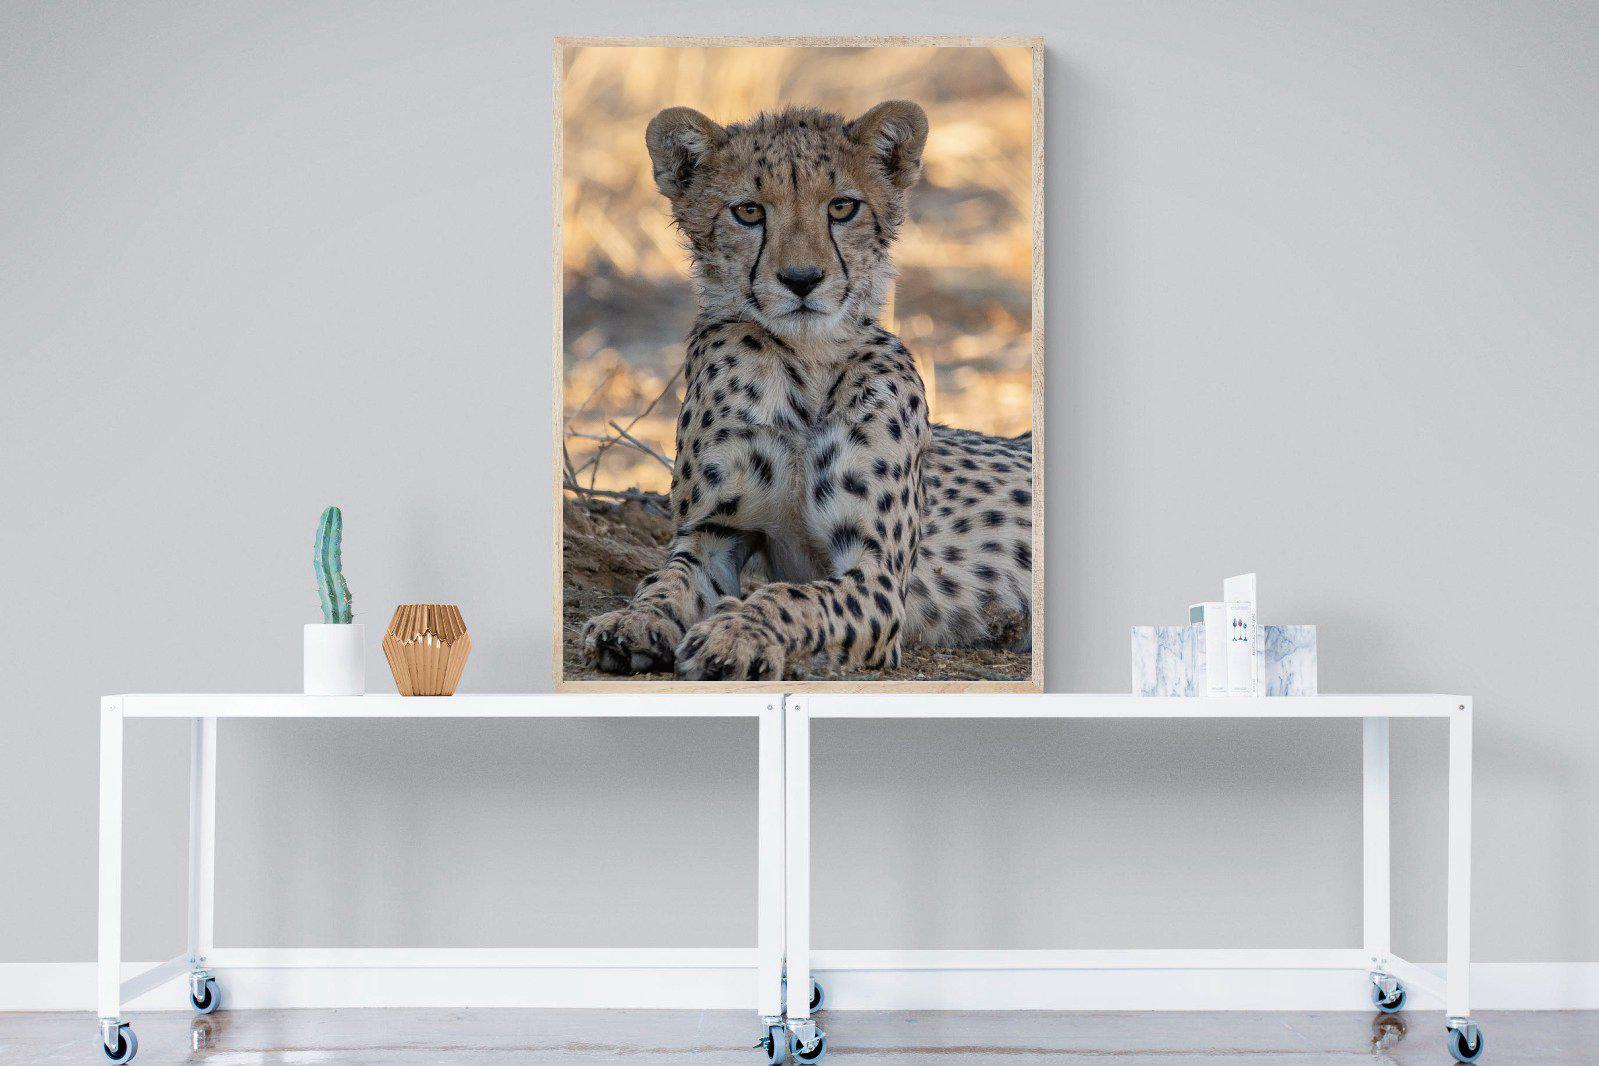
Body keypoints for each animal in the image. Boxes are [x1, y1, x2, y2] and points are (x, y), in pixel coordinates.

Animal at [579, 99, 1034, 681]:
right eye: (749, 212)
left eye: (842, 206)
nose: (801, 279)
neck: (805, 365)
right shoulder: (712, 535)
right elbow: (667, 580)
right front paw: (633, 620)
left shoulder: (878, 574)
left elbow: (794, 598)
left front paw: (736, 633)